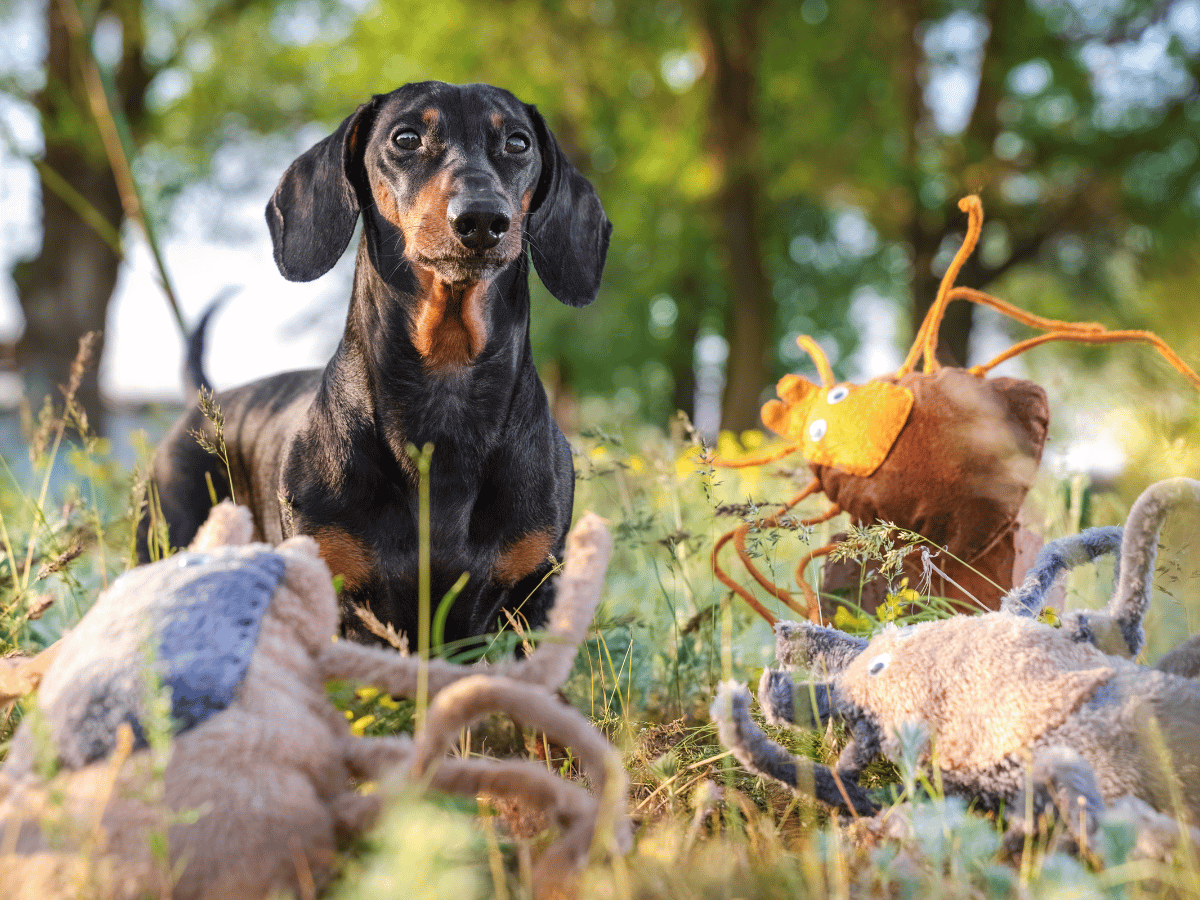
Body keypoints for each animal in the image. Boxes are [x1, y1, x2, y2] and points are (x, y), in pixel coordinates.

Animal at [136, 81, 614, 648]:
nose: (482, 219)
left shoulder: (533, 594)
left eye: (518, 143)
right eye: (405, 138)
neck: (444, 385)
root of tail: (203, 401)